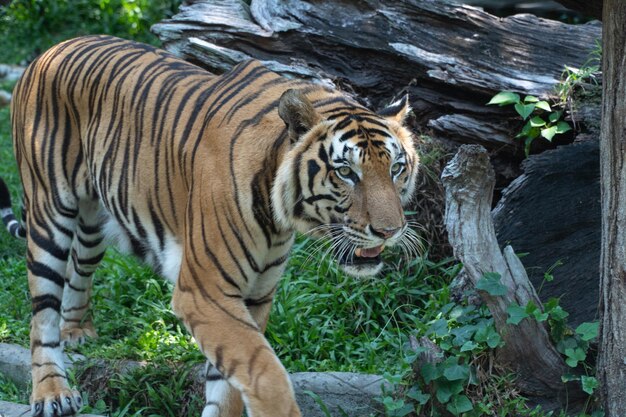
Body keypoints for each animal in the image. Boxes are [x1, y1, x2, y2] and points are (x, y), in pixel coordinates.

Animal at [1, 36, 420, 416]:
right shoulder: (204, 291)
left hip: (94, 220)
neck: (278, 218)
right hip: (49, 213)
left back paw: (76, 331)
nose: (390, 231)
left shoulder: (255, 296)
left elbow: (231, 383)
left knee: (78, 270)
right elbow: (265, 374)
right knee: (41, 314)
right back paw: (52, 393)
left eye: (397, 168)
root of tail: (48, 51)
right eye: (346, 172)